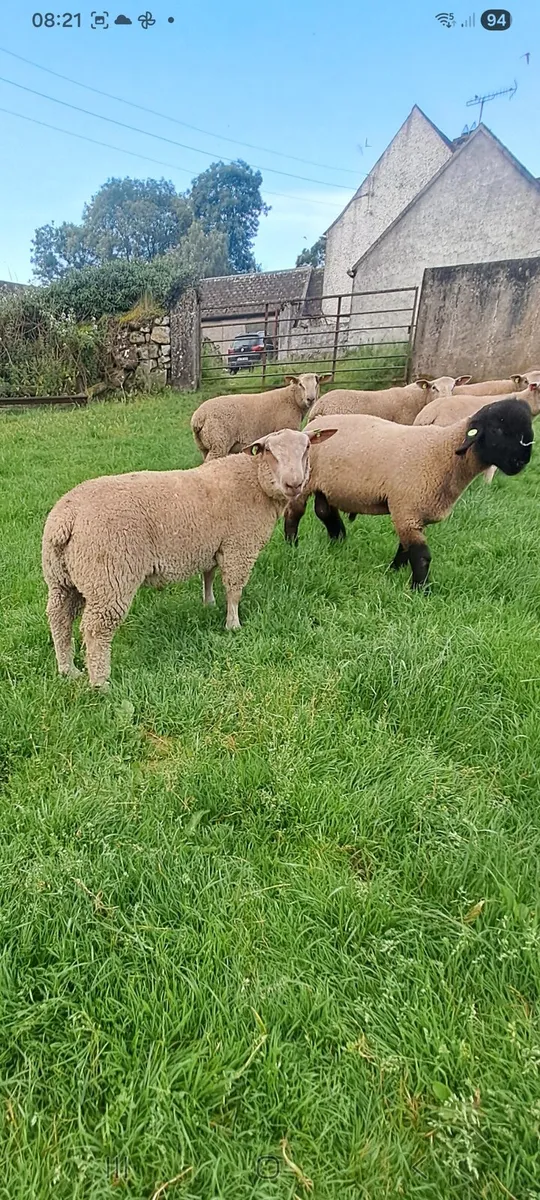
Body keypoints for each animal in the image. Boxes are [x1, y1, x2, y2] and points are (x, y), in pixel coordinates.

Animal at [42, 426, 337, 688]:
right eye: (270, 452)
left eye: (307, 448)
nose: (294, 484)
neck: (254, 481)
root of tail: (67, 517)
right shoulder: (239, 547)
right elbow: (234, 590)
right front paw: (233, 625)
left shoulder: (211, 545)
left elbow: (208, 575)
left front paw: (208, 603)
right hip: (109, 576)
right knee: (96, 629)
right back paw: (100, 684)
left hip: (63, 578)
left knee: (59, 618)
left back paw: (68, 670)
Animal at [190, 373, 332, 461]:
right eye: (300, 385)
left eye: (317, 384)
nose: (311, 399)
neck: (292, 400)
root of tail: (198, 417)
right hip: (218, 444)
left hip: (204, 446)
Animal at [283, 399, 533, 589]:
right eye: (497, 429)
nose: (522, 461)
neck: (443, 454)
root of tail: (314, 424)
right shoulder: (407, 509)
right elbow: (420, 554)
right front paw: (420, 589)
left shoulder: (412, 512)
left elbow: (405, 548)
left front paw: (395, 570)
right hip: (303, 485)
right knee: (294, 514)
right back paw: (292, 545)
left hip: (327, 486)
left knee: (324, 511)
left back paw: (339, 539)